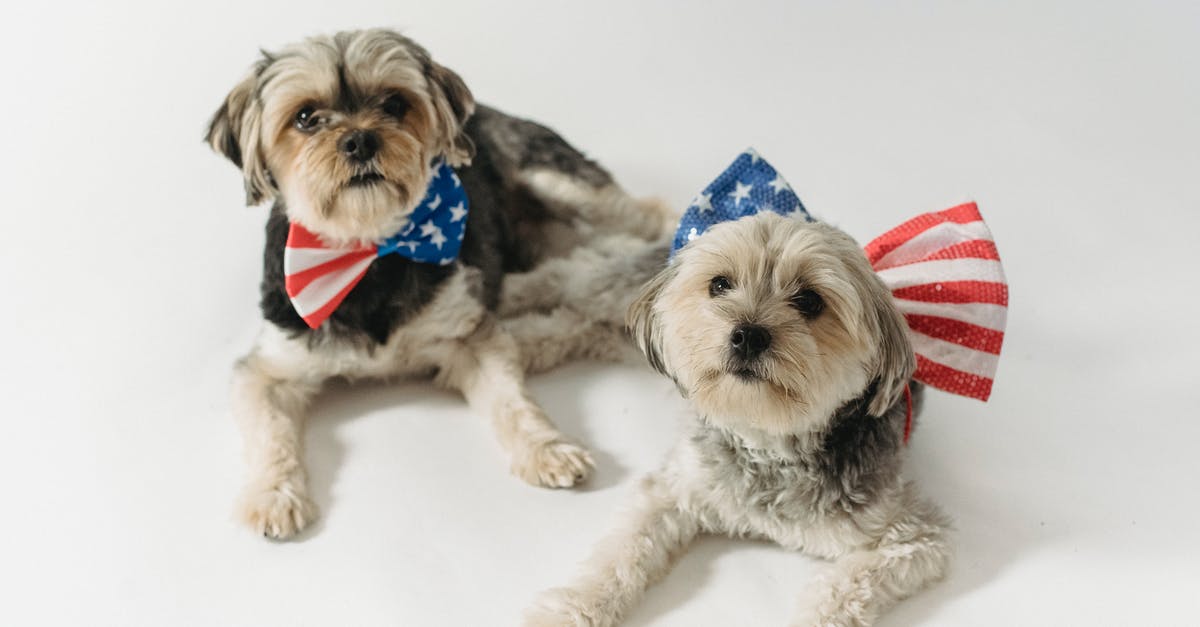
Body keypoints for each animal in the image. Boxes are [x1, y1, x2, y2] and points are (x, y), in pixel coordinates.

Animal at [211, 28, 672, 535]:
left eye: (395, 103)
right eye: (306, 117)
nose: (359, 141)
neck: (368, 255)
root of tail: (486, 111)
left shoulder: (467, 332)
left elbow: (511, 400)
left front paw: (545, 448)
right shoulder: (269, 366)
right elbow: (268, 431)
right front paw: (273, 494)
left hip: (560, 181)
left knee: (651, 214)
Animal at [530, 211, 950, 624]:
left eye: (810, 300)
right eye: (720, 284)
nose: (748, 335)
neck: (769, 444)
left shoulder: (914, 537)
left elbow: (840, 590)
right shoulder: (674, 489)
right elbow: (618, 558)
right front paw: (572, 607)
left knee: (574, 324)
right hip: (611, 288)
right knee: (567, 273)